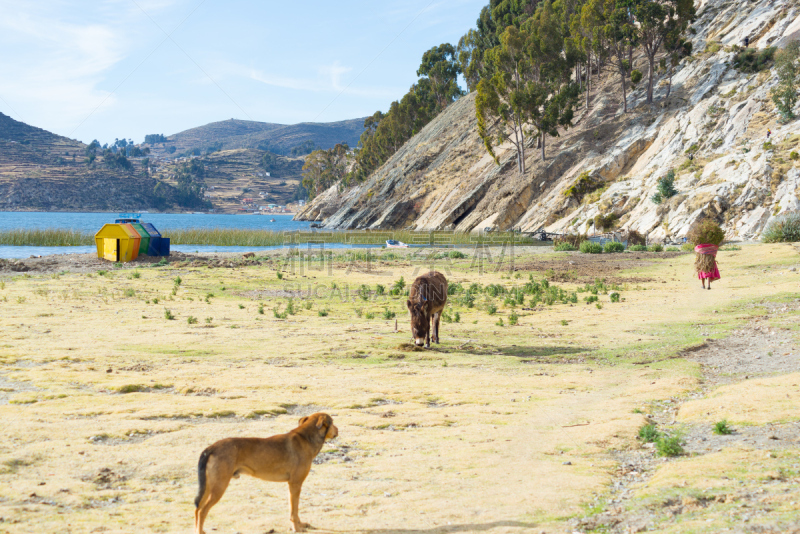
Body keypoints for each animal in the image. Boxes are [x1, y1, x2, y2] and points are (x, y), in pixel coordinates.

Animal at [198, 414, 340, 534]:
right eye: (333, 422)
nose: (338, 430)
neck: (306, 438)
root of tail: (212, 447)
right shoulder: (295, 484)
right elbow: (294, 510)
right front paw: (296, 528)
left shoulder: (292, 486)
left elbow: (294, 509)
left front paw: (300, 524)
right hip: (219, 486)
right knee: (202, 511)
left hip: (208, 486)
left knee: (197, 508)